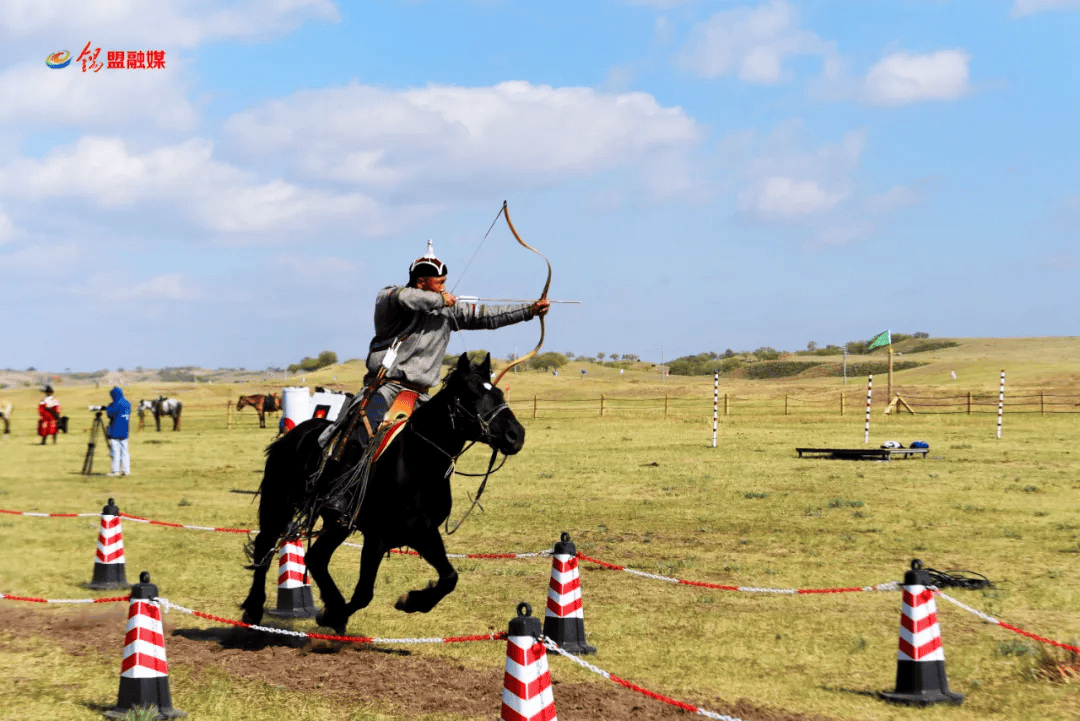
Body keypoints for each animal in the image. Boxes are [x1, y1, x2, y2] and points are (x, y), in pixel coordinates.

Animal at [239, 351, 522, 634]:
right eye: (472, 395)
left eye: (498, 392)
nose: (516, 435)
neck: (416, 462)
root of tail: (293, 434)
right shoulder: (377, 536)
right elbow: (364, 593)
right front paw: (334, 615)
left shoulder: (423, 532)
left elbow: (449, 577)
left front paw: (411, 601)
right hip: (279, 503)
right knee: (265, 545)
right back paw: (253, 609)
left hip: (337, 524)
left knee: (315, 557)